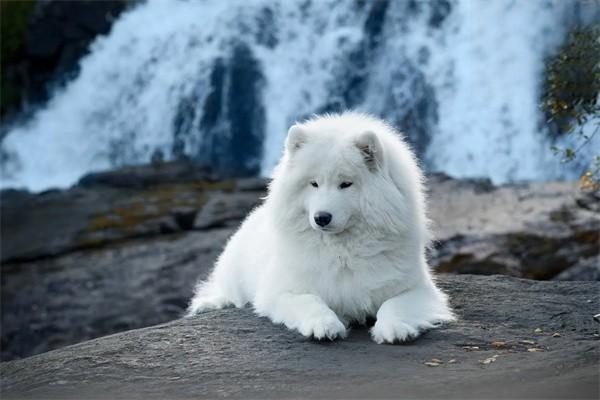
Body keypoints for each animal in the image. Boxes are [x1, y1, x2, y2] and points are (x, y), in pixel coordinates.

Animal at [185, 111, 452, 342]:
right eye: (313, 184)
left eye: (346, 184)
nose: (321, 218)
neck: (342, 249)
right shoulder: (280, 291)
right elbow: (310, 301)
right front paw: (325, 325)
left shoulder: (417, 288)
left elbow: (393, 304)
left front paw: (395, 327)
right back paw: (210, 304)